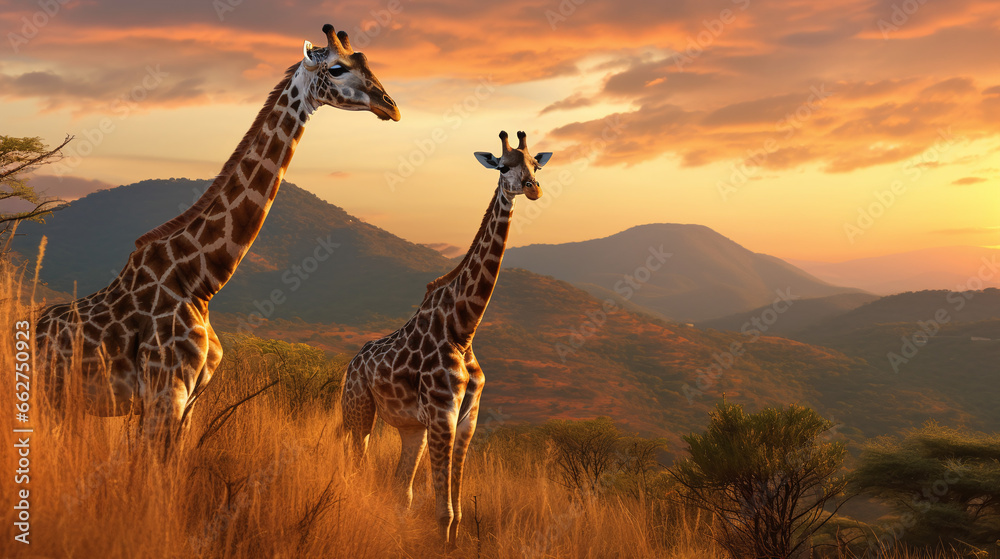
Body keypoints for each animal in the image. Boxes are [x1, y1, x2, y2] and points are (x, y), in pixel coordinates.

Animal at [34, 24, 400, 451]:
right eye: (338, 68)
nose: (390, 106)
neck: (200, 280)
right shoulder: (166, 393)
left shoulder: (190, 401)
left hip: (63, 402)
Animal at [341, 130, 552, 543]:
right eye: (503, 167)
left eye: (536, 164)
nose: (533, 189)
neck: (463, 328)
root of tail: (352, 363)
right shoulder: (443, 414)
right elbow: (444, 511)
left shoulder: (467, 418)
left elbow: (455, 510)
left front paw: (451, 544)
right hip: (359, 410)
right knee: (358, 468)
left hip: (411, 428)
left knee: (400, 487)